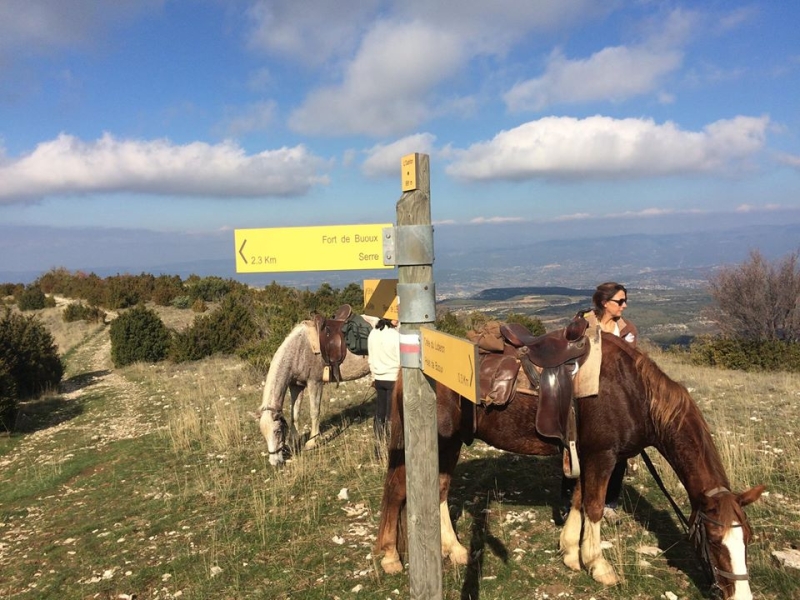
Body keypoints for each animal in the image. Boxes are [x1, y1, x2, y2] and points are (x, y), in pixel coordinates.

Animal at [378, 332, 764, 600]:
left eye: (746, 537)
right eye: (713, 541)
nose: (743, 596)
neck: (634, 391)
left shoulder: (588, 453)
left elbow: (579, 500)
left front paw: (570, 553)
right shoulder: (604, 455)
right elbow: (593, 506)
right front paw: (598, 565)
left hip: (451, 442)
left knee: (440, 488)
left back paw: (455, 549)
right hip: (436, 440)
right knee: (398, 490)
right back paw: (389, 557)